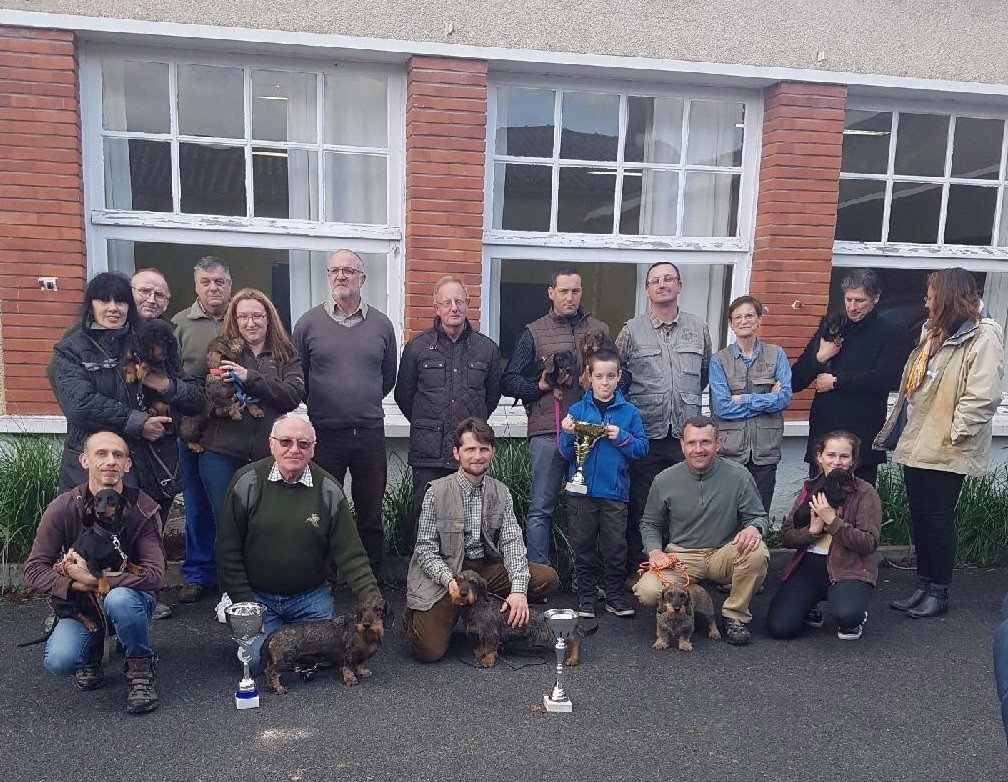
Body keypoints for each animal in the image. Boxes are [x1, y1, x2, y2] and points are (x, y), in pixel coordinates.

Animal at [260, 592, 389, 697]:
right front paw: (350, 679)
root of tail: (275, 632)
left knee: (267, 670)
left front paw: (362, 672)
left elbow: (359, 665)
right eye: (364, 610)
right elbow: (348, 668)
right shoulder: (350, 655)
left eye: (378, 609)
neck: (364, 632)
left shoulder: (359, 656)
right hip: (285, 661)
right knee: (271, 671)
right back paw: (277, 688)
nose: (366, 624)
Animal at [451, 568, 584, 665]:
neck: (475, 605)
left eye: (473, 582)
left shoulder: (490, 633)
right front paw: (480, 652)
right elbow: (482, 645)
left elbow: (489, 648)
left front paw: (488, 659)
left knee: (575, 640)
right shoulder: (478, 632)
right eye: (459, 580)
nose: (463, 593)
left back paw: (573, 658)